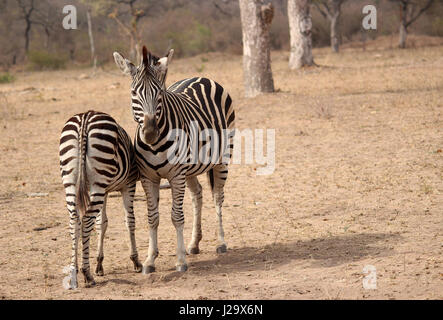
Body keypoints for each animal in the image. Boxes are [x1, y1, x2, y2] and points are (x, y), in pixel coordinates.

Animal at [59, 110, 142, 288]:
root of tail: (84, 119)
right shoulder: (129, 184)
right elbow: (129, 221)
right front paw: (136, 261)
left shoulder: (103, 191)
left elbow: (101, 223)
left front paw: (99, 264)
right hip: (98, 181)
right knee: (86, 220)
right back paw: (87, 274)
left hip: (72, 182)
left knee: (74, 221)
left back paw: (74, 271)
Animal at [113, 47, 236, 272]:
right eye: (134, 93)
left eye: (159, 93)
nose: (150, 132)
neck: (155, 146)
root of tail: (201, 77)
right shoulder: (148, 178)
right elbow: (152, 217)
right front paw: (150, 260)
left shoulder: (176, 175)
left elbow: (176, 216)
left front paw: (180, 261)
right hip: (191, 168)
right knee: (197, 195)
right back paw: (194, 243)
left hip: (222, 157)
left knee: (217, 196)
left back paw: (221, 242)